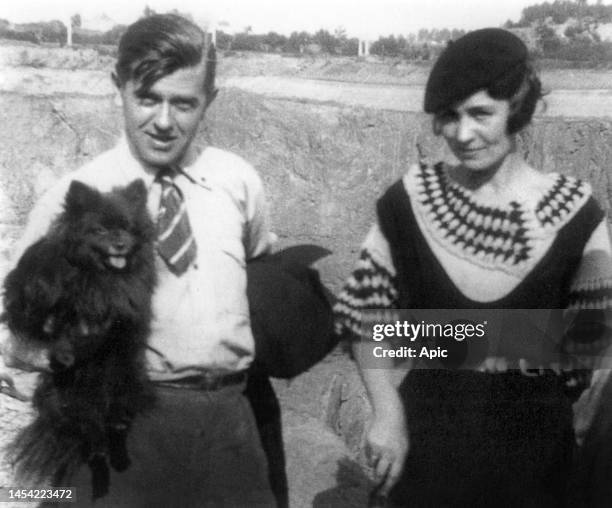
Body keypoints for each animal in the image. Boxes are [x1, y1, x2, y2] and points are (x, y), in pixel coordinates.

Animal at [3, 180, 157, 500]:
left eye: (128, 228)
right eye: (100, 230)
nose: (120, 243)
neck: (98, 272)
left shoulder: (124, 311)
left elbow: (118, 321)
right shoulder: (36, 295)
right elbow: (53, 317)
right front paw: (64, 346)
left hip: (120, 380)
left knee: (111, 417)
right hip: (66, 399)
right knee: (84, 427)